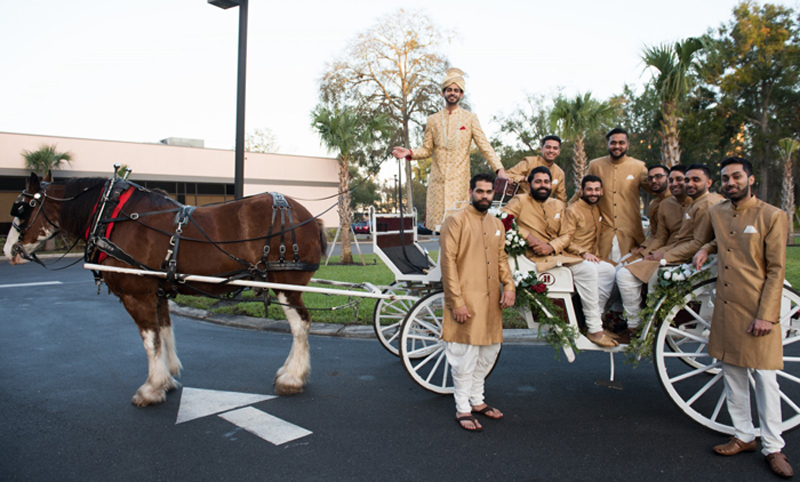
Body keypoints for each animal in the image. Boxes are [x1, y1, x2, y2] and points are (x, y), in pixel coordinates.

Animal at [5, 174, 324, 406]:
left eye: (21, 209)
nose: (9, 251)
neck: (110, 216)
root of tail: (308, 216)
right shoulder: (157, 292)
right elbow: (165, 332)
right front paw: (167, 378)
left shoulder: (136, 295)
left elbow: (150, 341)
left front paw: (151, 388)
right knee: (301, 325)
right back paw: (288, 371)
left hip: (285, 285)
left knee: (300, 325)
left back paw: (292, 378)